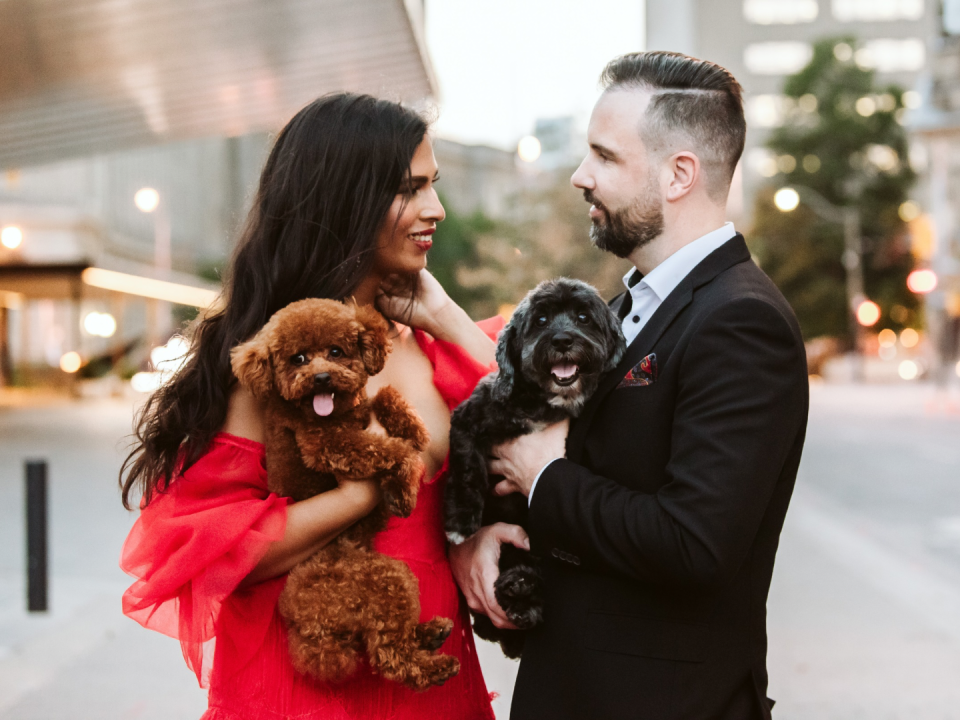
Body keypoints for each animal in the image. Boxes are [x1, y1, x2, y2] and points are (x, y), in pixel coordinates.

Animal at [440, 278, 624, 660]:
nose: (563, 340)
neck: (542, 403)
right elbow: (469, 471)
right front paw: (461, 522)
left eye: (583, 317)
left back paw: (524, 594)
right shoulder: (469, 418)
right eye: (540, 320)